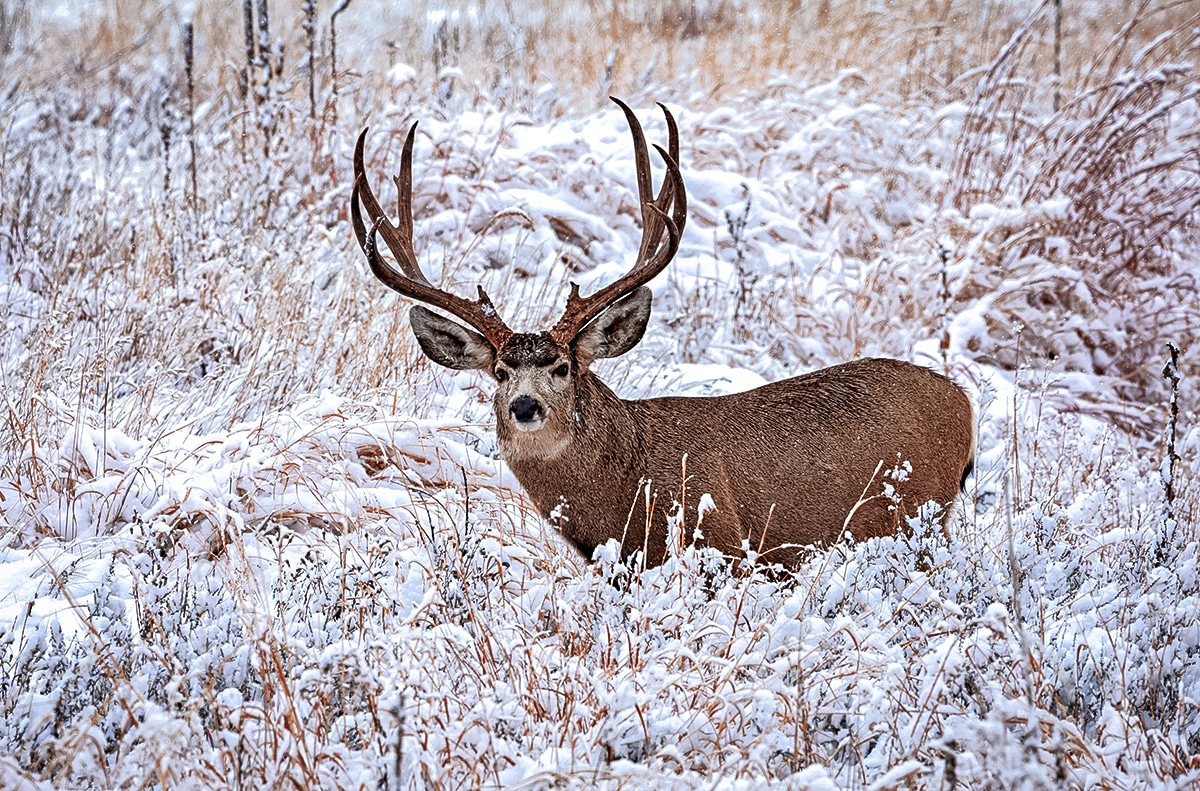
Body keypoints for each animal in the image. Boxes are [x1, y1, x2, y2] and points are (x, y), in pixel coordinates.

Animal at [350, 99, 974, 568]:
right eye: (500, 371)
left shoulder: (723, 543)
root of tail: (964, 403)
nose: (525, 406)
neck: (629, 484)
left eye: (563, 367)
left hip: (918, 514)